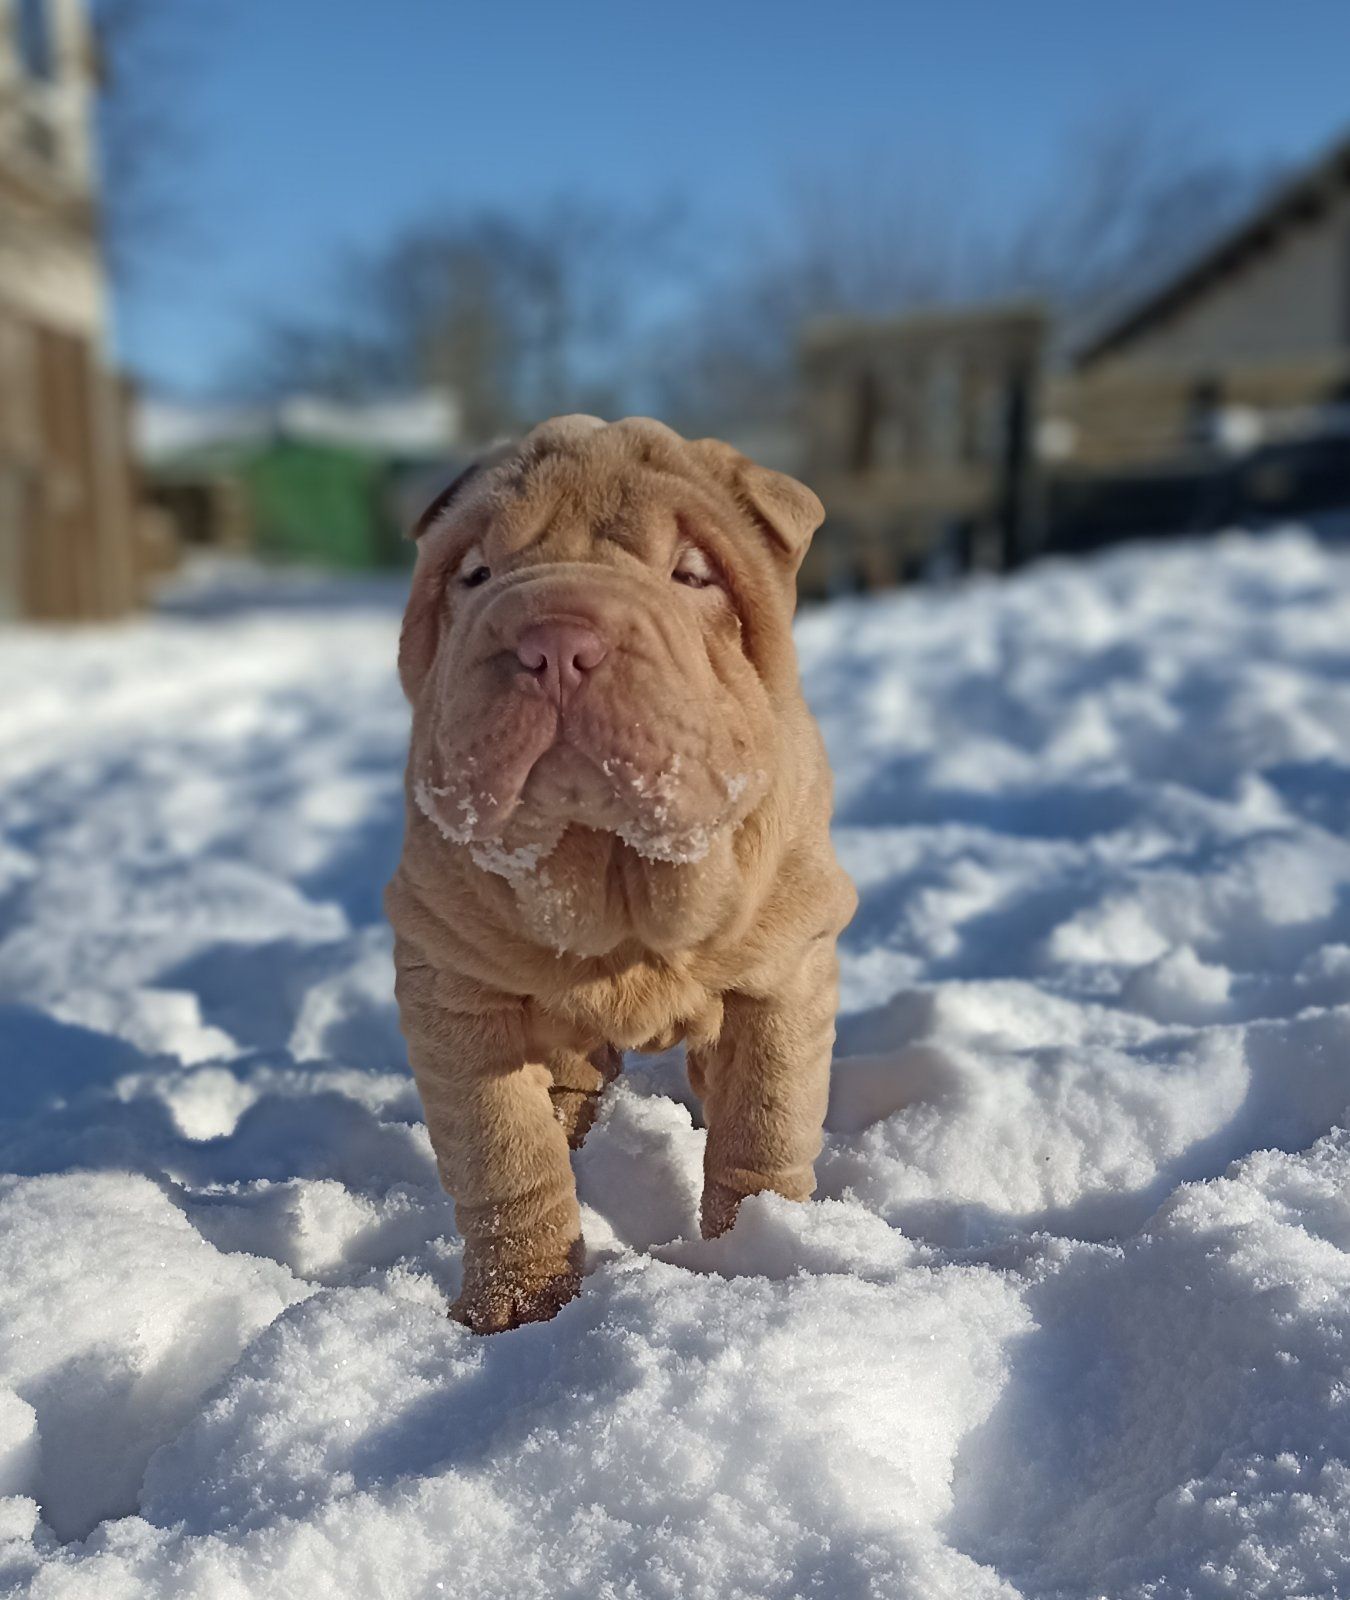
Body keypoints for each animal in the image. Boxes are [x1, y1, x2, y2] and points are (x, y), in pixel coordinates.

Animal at [385, 409, 857, 1324]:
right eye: (476, 574)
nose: (555, 640)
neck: (613, 887)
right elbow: (504, 1150)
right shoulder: (450, 986)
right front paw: (519, 1307)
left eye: (693, 574)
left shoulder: (787, 966)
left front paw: (760, 1253)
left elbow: (765, 1123)